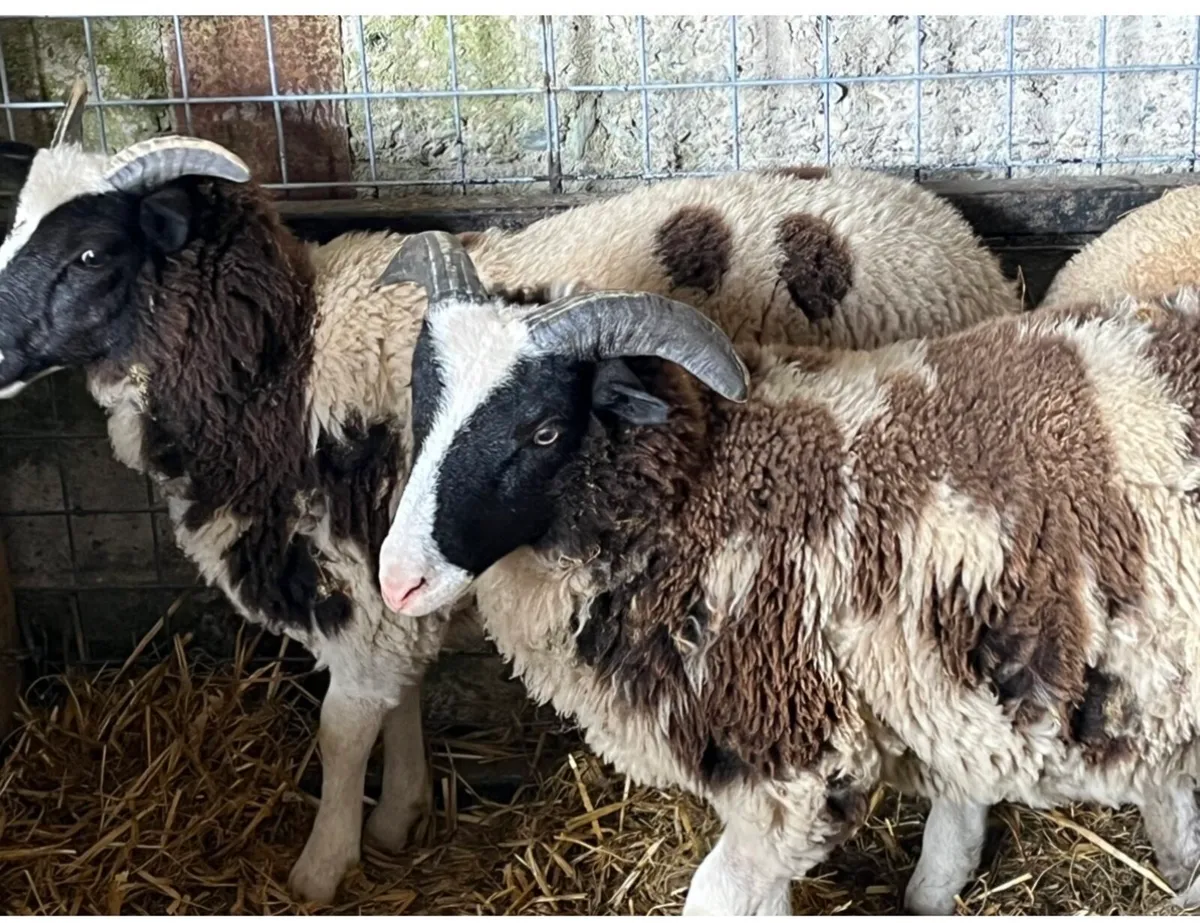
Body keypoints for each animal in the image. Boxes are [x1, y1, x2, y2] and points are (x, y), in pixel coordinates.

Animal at [0, 87, 1020, 903]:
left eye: (89, 253)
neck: (285, 361)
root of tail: (959, 243)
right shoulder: (394, 581)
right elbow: (399, 704)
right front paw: (399, 818)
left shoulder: (358, 587)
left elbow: (340, 734)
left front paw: (319, 869)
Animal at [377, 230, 1200, 916]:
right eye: (423, 400)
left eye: (545, 431)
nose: (398, 581)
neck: (709, 484)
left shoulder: (793, 757)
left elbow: (718, 896)